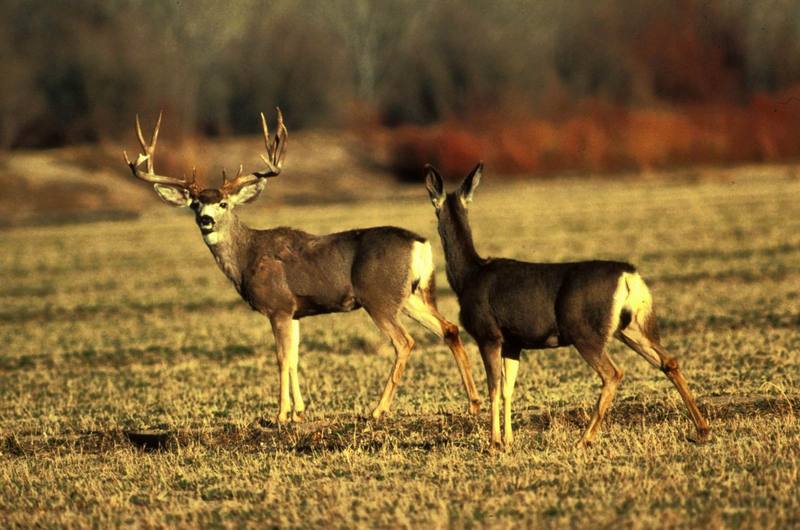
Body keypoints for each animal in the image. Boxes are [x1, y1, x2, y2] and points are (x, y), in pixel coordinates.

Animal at [122, 110, 478, 420]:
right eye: (195, 204)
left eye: (223, 203)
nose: (206, 220)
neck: (247, 257)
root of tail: (421, 245)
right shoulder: (295, 311)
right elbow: (294, 357)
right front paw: (299, 411)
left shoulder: (278, 305)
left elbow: (282, 358)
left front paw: (280, 414)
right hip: (413, 295)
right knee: (449, 328)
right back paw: (473, 402)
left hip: (379, 297)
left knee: (405, 342)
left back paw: (378, 409)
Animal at [424, 161, 712, 446]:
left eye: (434, 209)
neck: (468, 276)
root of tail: (629, 275)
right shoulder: (514, 342)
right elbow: (508, 390)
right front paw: (509, 441)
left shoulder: (488, 334)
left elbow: (494, 388)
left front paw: (494, 443)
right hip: (630, 327)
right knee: (669, 361)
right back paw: (702, 429)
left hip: (584, 330)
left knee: (613, 373)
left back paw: (584, 439)